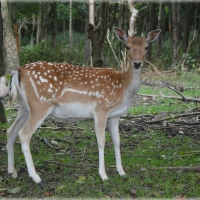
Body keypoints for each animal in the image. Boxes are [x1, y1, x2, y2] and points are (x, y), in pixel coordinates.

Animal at [5, 27, 161, 185]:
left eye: (146, 47)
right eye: (127, 46)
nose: (137, 63)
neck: (123, 89)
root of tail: (17, 71)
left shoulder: (115, 115)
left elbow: (117, 141)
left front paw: (121, 172)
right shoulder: (100, 109)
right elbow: (101, 141)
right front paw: (103, 175)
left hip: (24, 106)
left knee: (11, 131)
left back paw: (12, 171)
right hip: (40, 104)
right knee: (23, 134)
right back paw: (36, 177)